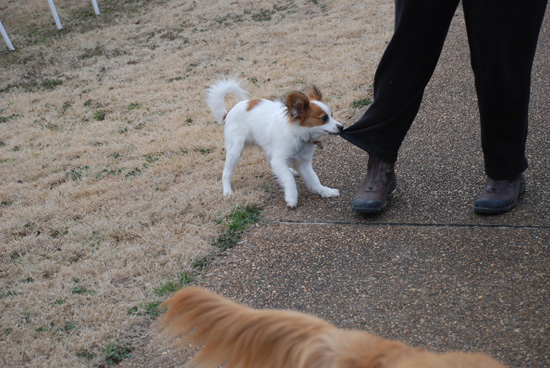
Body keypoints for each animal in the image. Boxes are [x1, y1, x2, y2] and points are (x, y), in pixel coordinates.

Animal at [208, 79, 344, 207]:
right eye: (324, 118)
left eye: (332, 115)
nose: (342, 127)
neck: (297, 135)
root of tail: (227, 114)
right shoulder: (279, 160)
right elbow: (288, 178)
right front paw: (291, 197)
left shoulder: (303, 163)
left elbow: (314, 179)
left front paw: (325, 191)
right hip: (235, 150)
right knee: (226, 173)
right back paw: (227, 191)